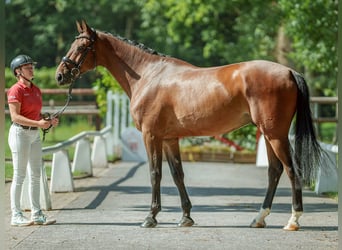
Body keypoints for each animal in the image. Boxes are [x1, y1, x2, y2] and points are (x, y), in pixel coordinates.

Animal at [55, 20, 320, 231]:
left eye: (81, 47)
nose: (60, 75)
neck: (148, 75)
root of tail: (289, 71)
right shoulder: (170, 139)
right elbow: (177, 175)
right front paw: (186, 217)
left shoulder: (151, 136)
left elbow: (155, 173)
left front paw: (150, 217)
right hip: (267, 134)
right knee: (274, 171)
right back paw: (259, 218)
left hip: (275, 135)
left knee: (291, 170)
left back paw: (293, 220)